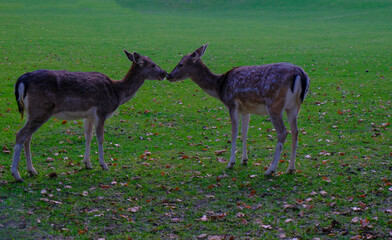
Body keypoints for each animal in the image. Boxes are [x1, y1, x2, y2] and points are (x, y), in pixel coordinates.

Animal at [10, 50, 167, 182]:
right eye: (153, 65)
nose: (165, 73)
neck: (117, 93)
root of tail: (23, 79)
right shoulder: (101, 110)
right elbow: (100, 137)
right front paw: (104, 165)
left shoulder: (89, 115)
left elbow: (88, 135)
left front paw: (87, 163)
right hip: (41, 109)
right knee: (21, 134)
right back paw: (16, 175)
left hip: (31, 112)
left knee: (28, 137)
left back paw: (32, 170)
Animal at [168, 44, 310, 176]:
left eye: (180, 64)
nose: (169, 75)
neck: (220, 87)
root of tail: (301, 75)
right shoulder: (246, 109)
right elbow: (244, 132)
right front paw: (244, 160)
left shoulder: (232, 104)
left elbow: (234, 132)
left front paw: (230, 163)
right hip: (293, 107)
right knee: (295, 131)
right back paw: (290, 168)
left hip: (274, 105)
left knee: (283, 132)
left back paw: (270, 170)